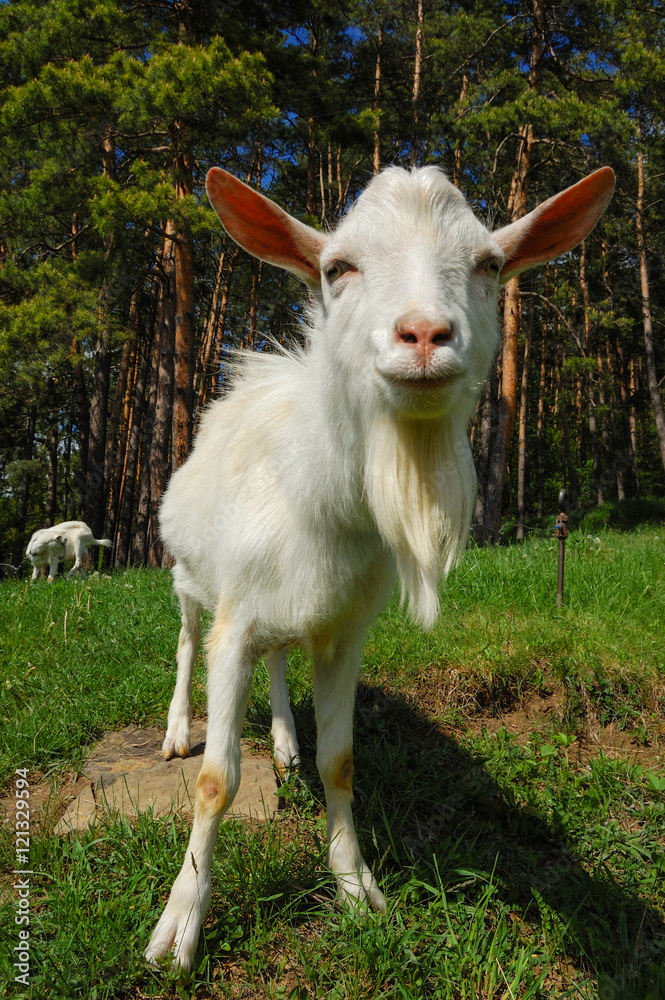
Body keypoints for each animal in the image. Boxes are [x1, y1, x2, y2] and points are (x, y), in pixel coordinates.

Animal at [146, 163, 614, 969]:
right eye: (338, 267)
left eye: (489, 264)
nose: (424, 335)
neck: (317, 499)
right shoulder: (235, 621)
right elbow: (214, 782)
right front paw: (180, 923)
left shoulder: (344, 628)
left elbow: (340, 761)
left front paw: (355, 887)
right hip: (186, 574)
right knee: (183, 639)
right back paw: (179, 727)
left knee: (279, 660)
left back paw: (283, 742)